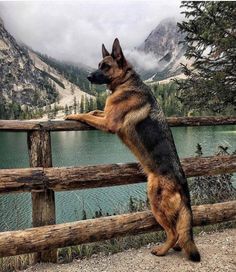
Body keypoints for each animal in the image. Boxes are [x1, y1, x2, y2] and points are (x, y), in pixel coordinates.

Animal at [65, 38, 201, 262]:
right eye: (98, 64)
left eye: (105, 66)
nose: (88, 76)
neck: (125, 82)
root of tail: (182, 183)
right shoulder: (106, 112)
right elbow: (93, 110)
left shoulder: (109, 122)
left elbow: (86, 114)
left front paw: (72, 115)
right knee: (178, 232)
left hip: (155, 202)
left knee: (173, 232)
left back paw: (161, 251)